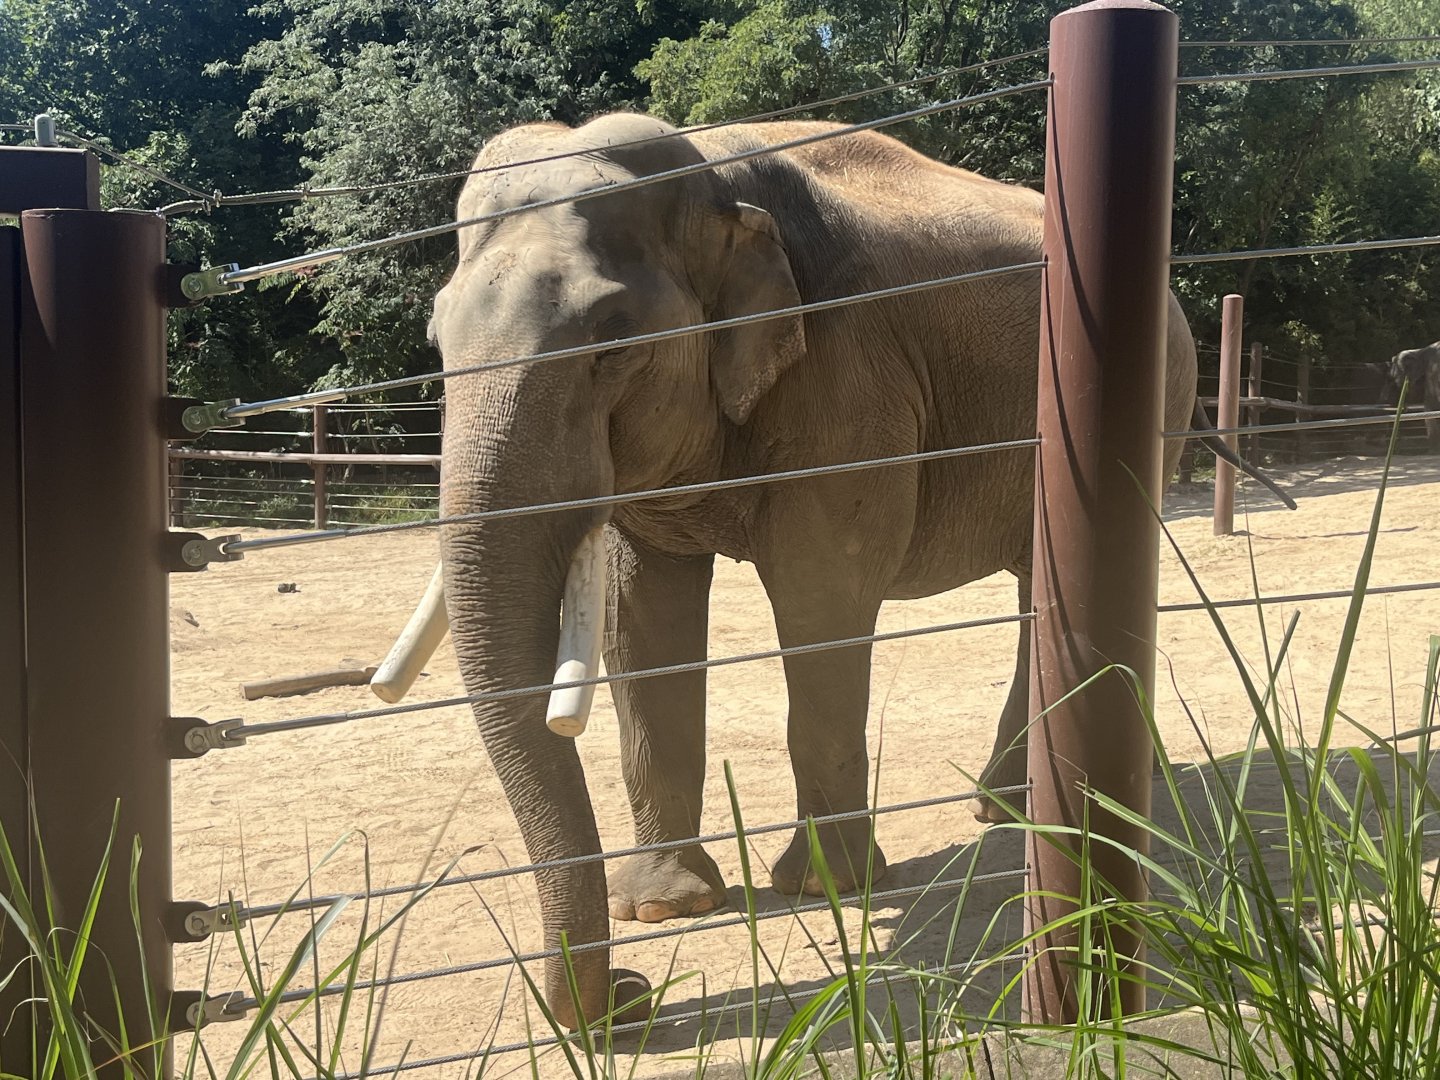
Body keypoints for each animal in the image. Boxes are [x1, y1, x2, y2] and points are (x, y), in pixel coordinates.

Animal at [415, 111, 1253, 1028]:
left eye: (612, 342)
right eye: (435, 343)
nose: (637, 996)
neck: (716, 180)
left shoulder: (848, 377)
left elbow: (822, 596)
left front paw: (827, 887)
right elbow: (645, 617)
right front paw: (666, 907)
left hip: (1155, 395)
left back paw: (1024, 811)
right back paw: (1006, 808)